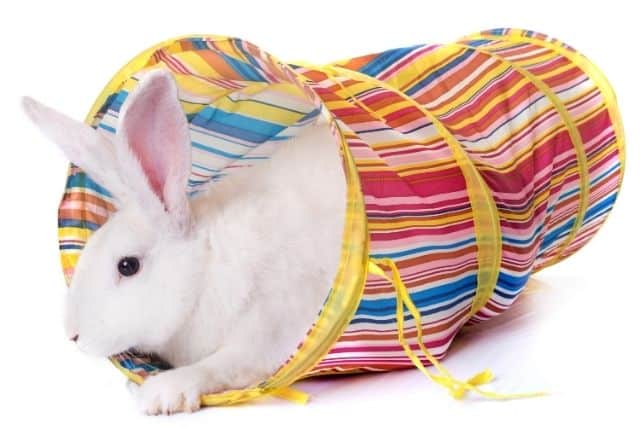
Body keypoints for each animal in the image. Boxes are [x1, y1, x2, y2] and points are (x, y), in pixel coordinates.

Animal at [22, 69, 348, 414]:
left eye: (128, 266)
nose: (73, 335)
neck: (206, 266)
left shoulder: (275, 320)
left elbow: (229, 363)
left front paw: (163, 393)